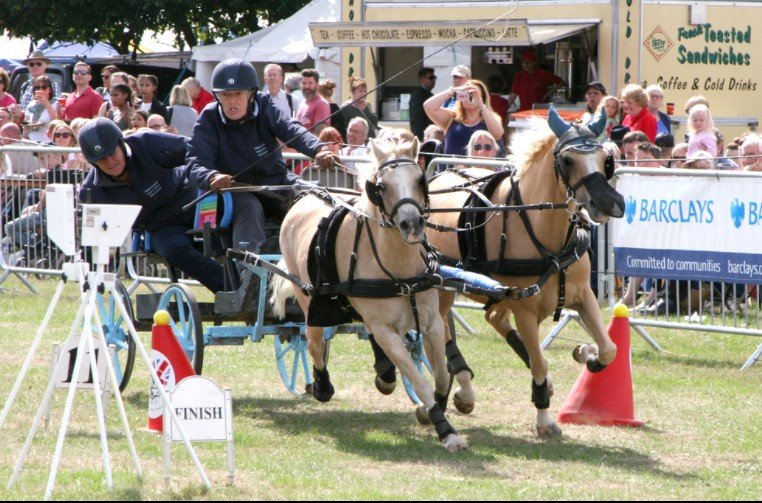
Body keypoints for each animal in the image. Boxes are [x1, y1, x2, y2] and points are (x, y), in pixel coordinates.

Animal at [270, 134, 466, 452]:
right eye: (382, 186)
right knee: (313, 343)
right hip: (308, 297)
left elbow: (440, 375)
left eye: (419, 179)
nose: (412, 224)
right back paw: (321, 385)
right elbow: (420, 380)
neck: (400, 268)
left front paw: (429, 411)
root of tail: (309, 194)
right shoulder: (387, 331)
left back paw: (384, 375)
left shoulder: (432, 322)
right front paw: (446, 431)